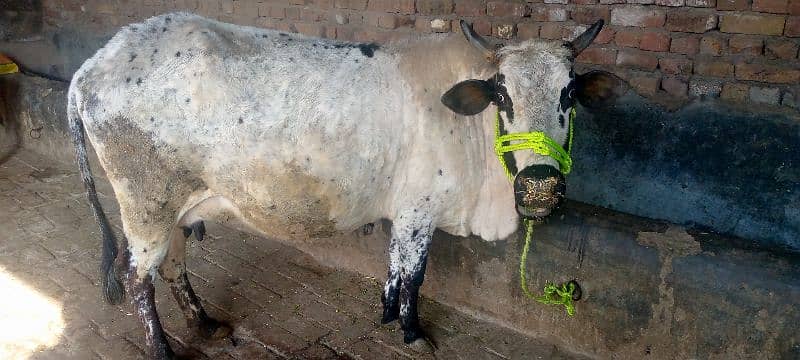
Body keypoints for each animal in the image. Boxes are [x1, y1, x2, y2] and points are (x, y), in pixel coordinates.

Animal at [69, 12, 624, 358]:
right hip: (146, 206)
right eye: (502, 95)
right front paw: (411, 331)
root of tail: (95, 63)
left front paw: (387, 314)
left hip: (177, 208)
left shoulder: (407, 213)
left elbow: (395, 270)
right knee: (137, 278)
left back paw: (204, 324)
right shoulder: (419, 211)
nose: (540, 186)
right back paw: (162, 349)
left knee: (174, 266)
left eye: (568, 93)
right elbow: (413, 276)